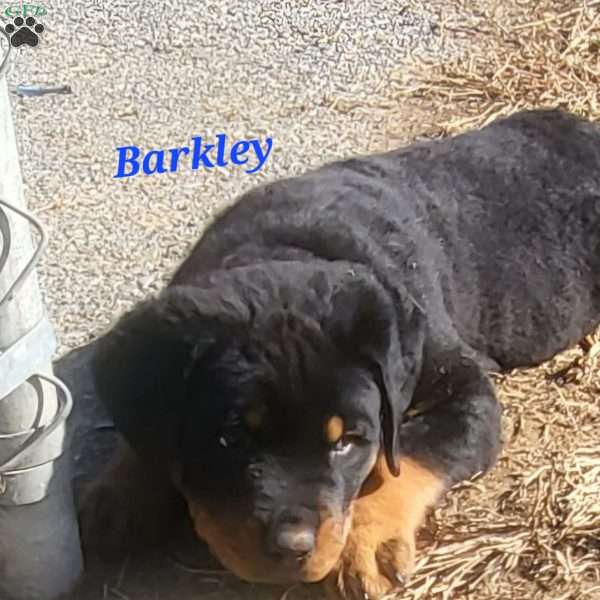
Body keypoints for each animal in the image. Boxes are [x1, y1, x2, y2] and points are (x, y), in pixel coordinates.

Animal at [82, 109, 600, 600]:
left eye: (347, 442)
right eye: (230, 438)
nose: (292, 547)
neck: (286, 248)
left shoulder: (462, 388)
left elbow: (409, 456)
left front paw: (365, 545)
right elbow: (146, 422)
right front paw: (120, 495)